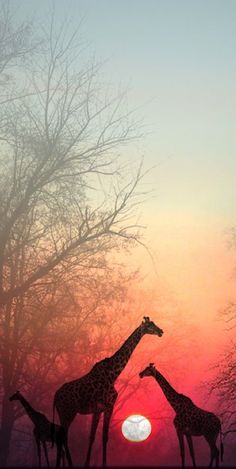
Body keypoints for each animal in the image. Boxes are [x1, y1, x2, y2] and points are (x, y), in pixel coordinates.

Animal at [53, 314, 164, 464]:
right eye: (150, 325)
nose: (161, 331)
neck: (113, 374)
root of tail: (55, 396)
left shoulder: (98, 410)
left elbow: (92, 437)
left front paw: (87, 464)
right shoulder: (109, 405)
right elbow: (105, 437)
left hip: (64, 413)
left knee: (61, 436)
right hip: (68, 412)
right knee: (63, 436)